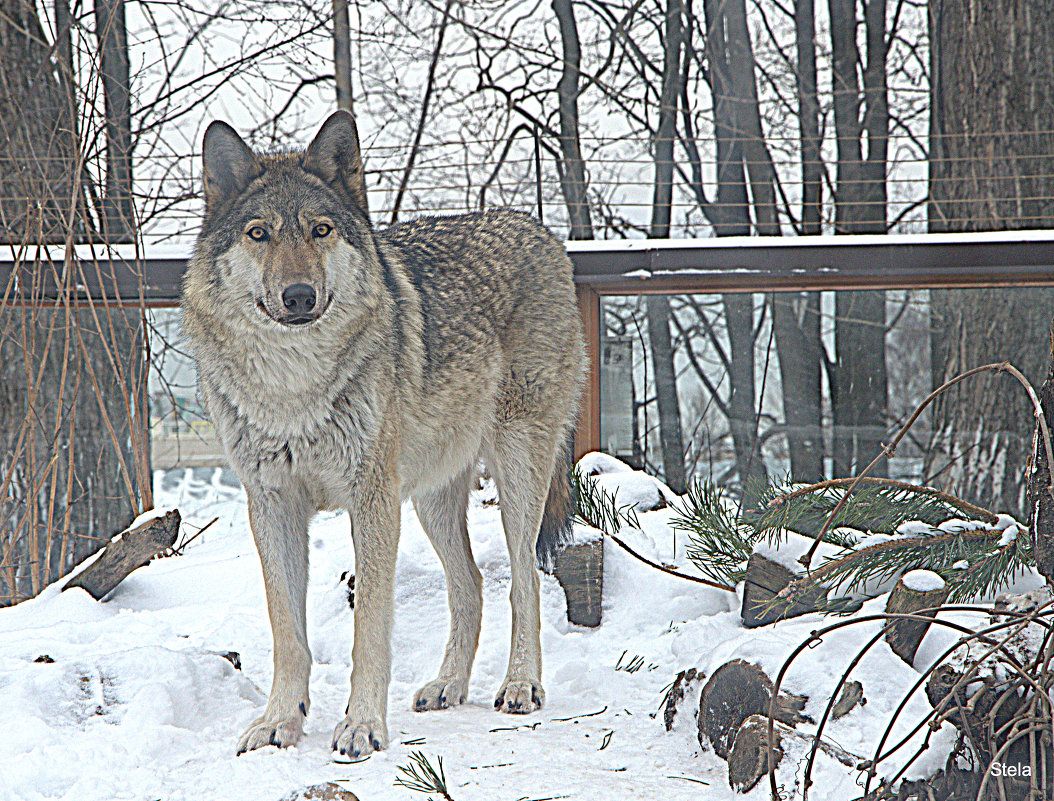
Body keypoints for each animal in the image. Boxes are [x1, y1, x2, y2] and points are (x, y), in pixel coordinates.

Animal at [184, 111, 590, 758]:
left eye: (321, 230)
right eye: (259, 234)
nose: (298, 296)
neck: (294, 387)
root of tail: (537, 228)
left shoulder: (371, 500)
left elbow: (369, 625)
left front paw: (361, 725)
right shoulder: (271, 503)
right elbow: (286, 630)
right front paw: (280, 721)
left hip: (515, 471)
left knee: (523, 579)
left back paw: (521, 685)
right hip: (430, 497)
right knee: (471, 583)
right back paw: (449, 685)